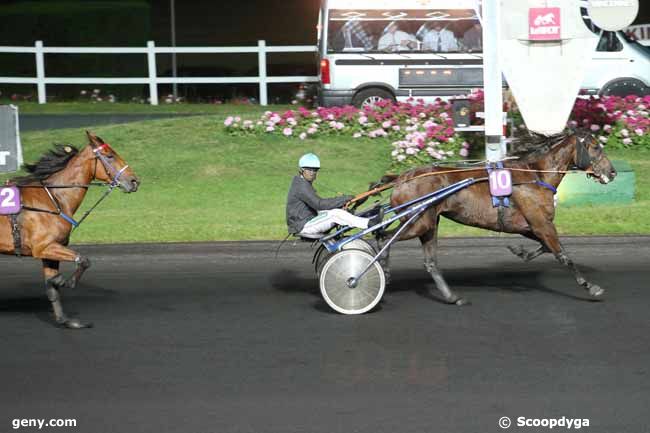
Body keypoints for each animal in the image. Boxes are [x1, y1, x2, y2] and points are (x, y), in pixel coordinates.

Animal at [0, 131, 138, 328]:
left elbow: (52, 287)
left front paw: (65, 320)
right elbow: (83, 261)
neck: (54, 199)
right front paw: (66, 281)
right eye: (110, 155)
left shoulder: (50, 251)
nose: (134, 181)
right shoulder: (44, 247)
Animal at [372, 130, 616, 306]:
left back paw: (452, 297)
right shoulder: (542, 224)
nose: (612, 172)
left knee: (430, 262)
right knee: (383, 238)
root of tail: (401, 178)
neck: (536, 175)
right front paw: (590, 286)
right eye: (596, 147)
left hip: (430, 223)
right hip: (418, 221)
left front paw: (520, 251)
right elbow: (563, 255)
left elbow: (546, 248)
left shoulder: (529, 226)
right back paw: (384, 273)